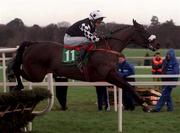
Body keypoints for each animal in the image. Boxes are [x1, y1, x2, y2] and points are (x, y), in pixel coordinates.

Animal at [10, 19, 160, 111]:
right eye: (142, 31)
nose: (157, 44)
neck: (108, 48)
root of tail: (33, 44)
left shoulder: (111, 76)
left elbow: (127, 86)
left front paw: (143, 104)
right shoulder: (108, 75)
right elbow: (128, 86)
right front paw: (145, 104)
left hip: (36, 74)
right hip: (36, 74)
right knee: (17, 70)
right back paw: (17, 86)